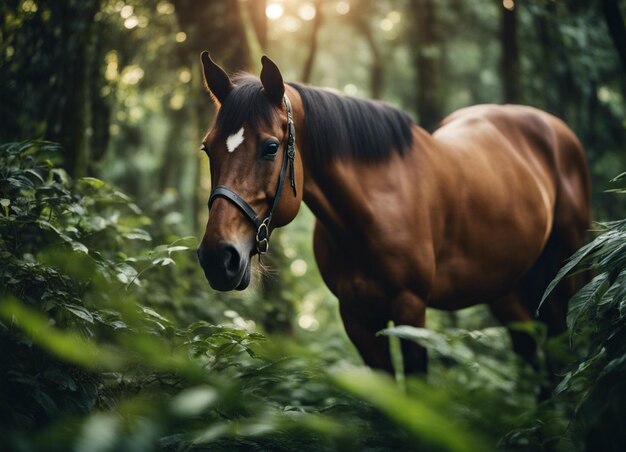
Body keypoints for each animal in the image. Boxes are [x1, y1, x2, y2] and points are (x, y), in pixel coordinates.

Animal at [196, 53, 588, 374]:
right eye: (207, 148)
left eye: (271, 147)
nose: (218, 257)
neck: (368, 214)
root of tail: (553, 126)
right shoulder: (356, 317)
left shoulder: (410, 310)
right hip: (506, 286)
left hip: (565, 275)